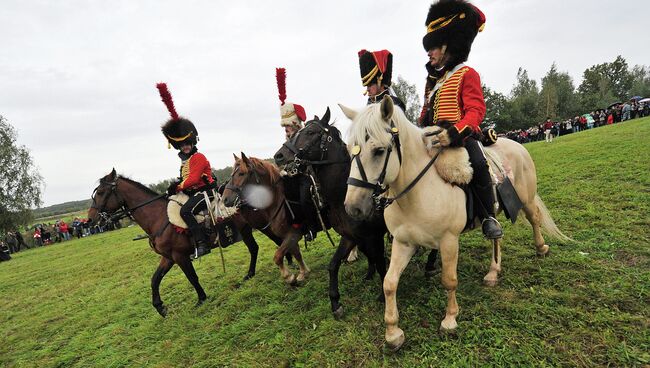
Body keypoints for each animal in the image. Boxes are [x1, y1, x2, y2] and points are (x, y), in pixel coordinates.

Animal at [86, 169, 274, 316]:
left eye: (101, 193)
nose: (90, 219)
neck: (159, 217)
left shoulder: (180, 256)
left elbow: (192, 277)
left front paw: (201, 299)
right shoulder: (168, 257)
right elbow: (155, 279)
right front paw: (160, 308)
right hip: (246, 230)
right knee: (254, 248)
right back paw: (250, 274)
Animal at [340, 95, 568, 350]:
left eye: (379, 150)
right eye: (349, 151)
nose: (352, 207)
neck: (418, 192)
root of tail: (517, 145)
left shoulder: (448, 241)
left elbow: (449, 280)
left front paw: (449, 320)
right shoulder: (403, 242)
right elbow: (389, 283)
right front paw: (393, 333)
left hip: (526, 199)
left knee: (534, 219)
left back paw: (541, 248)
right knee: (496, 237)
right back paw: (493, 271)